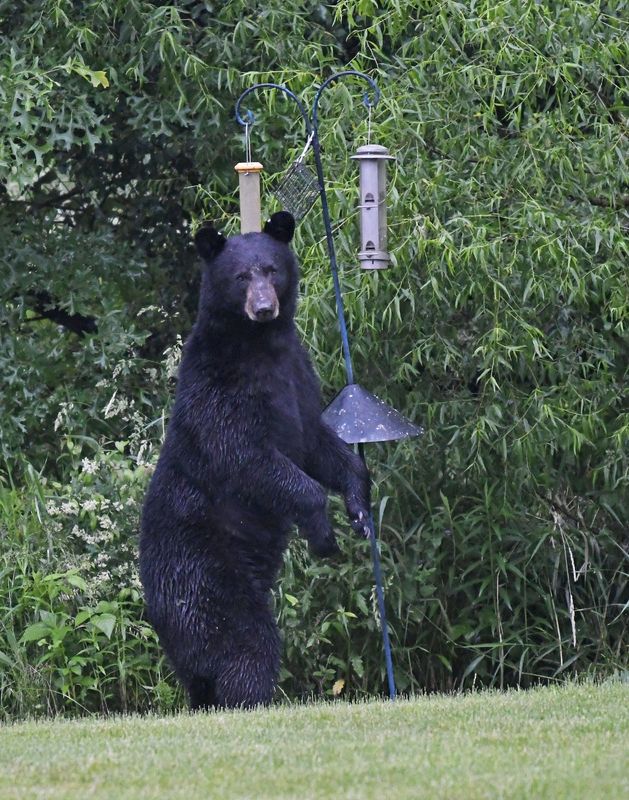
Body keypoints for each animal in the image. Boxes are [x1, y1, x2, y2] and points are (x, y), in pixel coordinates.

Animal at [139, 211, 371, 710]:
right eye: (240, 276)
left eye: (271, 269)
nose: (264, 307)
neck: (261, 345)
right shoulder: (221, 387)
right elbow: (249, 455)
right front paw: (323, 535)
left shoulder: (299, 376)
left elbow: (318, 441)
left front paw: (359, 509)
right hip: (205, 575)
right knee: (245, 645)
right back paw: (251, 699)